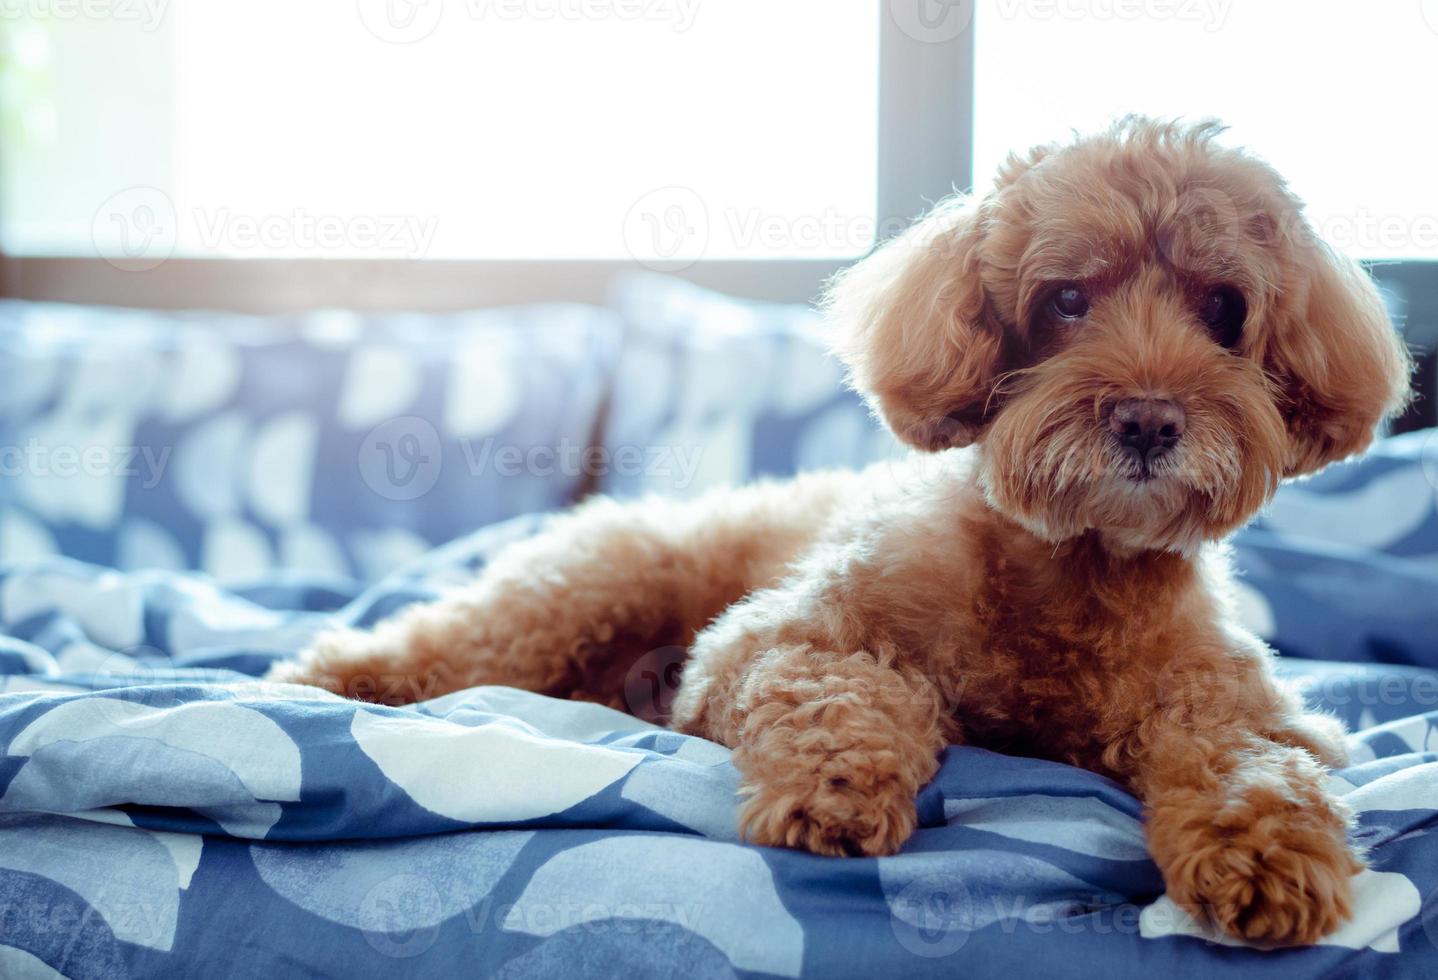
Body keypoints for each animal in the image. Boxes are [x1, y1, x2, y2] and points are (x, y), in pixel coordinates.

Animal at [267, 118, 1403, 942]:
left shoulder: (1238, 710)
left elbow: (1253, 767)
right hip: (590, 585)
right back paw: (328, 675)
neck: (1071, 566)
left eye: (1223, 309)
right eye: (1069, 298)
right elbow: (843, 690)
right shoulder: (767, 642)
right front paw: (839, 789)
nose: (1150, 420)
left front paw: (1270, 860)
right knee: (450, 639)